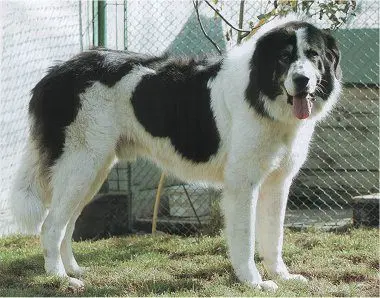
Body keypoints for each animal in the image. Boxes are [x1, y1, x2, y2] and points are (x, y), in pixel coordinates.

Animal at [12, 14, 342, 292]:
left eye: (313, 55)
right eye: (284, 57)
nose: (302, 81)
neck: (261, 90)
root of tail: (56, 72)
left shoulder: (278, 184)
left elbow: (274, 238)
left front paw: (282, 276)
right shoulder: (242, 186)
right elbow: (246, 240)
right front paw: (253, 282)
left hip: (91, 172)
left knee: (66, 225)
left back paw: (73, 270)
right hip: (81, 166)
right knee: (51, 226)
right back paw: (60, 279)